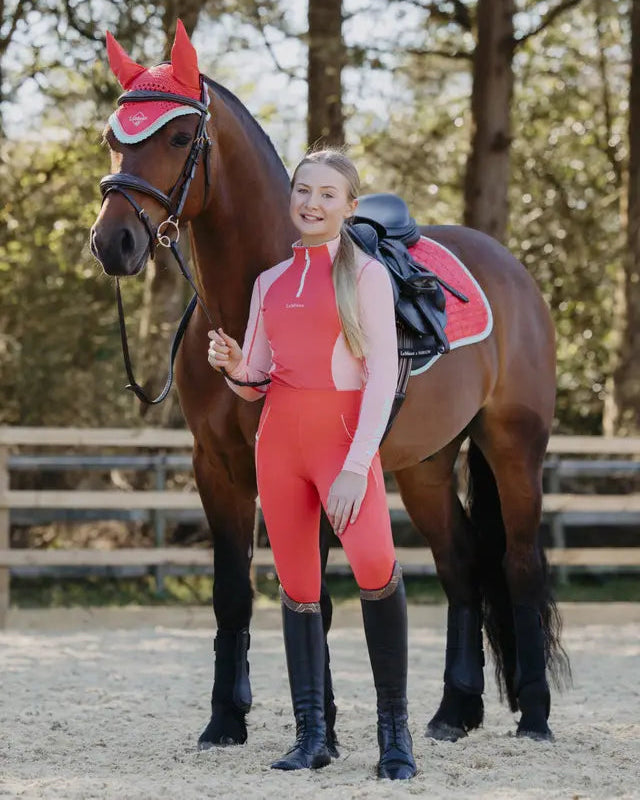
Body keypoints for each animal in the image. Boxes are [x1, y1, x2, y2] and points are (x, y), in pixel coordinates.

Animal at [90, 23, 568, 750]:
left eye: (179, 138)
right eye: (114, 136)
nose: (112, 241)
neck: (255, 296)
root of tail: (511, 268)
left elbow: (311, 590)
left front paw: (325, 728)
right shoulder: (217, 466)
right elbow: (233, 593)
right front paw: (225, 719)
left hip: (513, 446)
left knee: (518, 566)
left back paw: (534, 716)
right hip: (426, 465)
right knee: (461, 565)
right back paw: (453, 711)